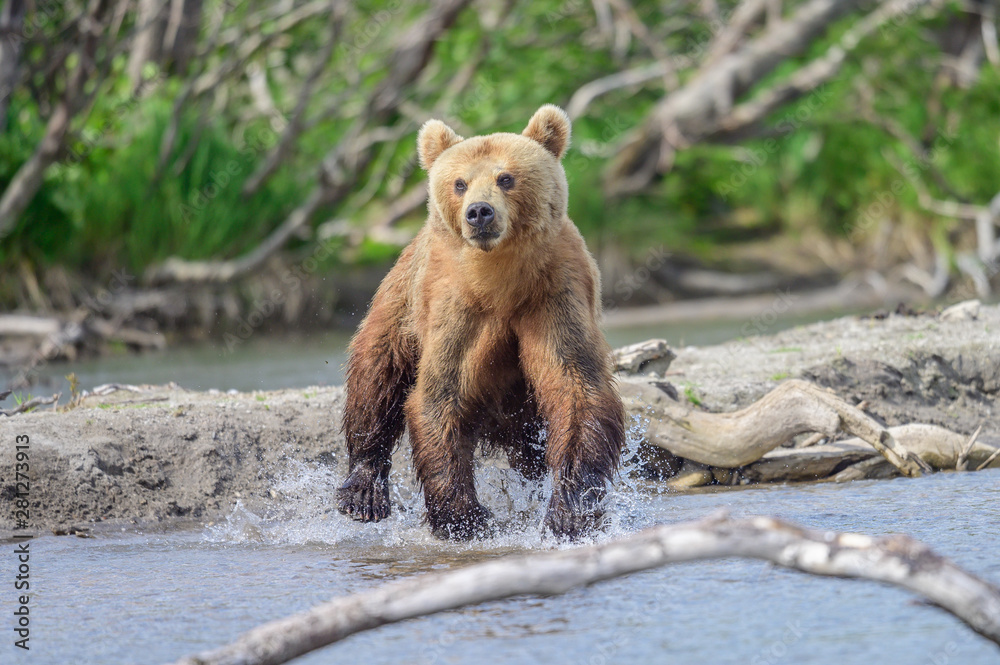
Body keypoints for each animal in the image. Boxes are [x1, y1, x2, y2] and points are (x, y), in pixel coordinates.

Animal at [337, 105, 625, 540]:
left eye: (505, 177)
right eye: (460, 183)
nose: (479, 212)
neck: (501, 280)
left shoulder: (553, 296)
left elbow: (575, 386)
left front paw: (569, 511)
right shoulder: (460, 309)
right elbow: (441, 395)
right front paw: (464, 517)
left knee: (530, 445)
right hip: (401, 304)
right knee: (376, 375)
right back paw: (362, 491)